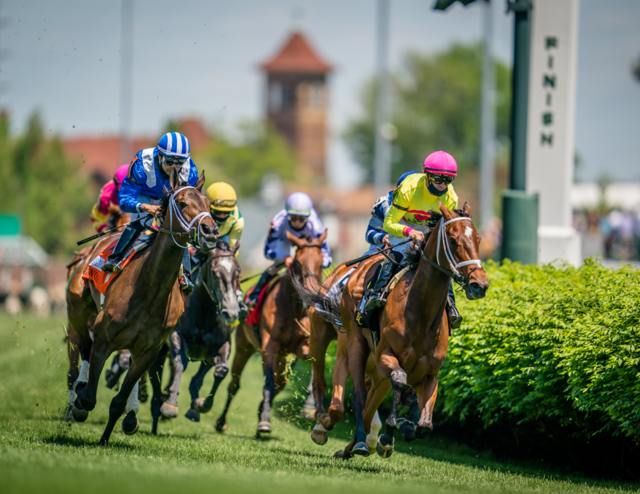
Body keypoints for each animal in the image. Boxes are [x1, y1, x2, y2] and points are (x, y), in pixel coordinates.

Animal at [66, 172, 219, 446]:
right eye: (182, 203)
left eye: (208, 204)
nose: (210, 230)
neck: (148, 290)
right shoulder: (104, 339)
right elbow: (90, 397)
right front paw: (81, 403)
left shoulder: (149, 351)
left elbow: (117, 402)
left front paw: (107, 437)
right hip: (78, 311)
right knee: (83, 346)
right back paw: (79, 391)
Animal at [215, 230, 328, 434]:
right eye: (298, 263)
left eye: (321, 263)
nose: (310, 294)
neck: (294, 309)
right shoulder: (270, 345)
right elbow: (268, 383)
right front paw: (265, 420)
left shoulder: (303, 346)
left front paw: (308, 406)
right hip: (244, 347)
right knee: (234, 384)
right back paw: (221, 422)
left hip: (284, 360)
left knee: (280, 383)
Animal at [298, 203, 488, 458]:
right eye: (453, 239)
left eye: (477, 238)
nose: (480, 285)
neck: (420, 313)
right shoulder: (385, 356)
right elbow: (397, 381)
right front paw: (387, 436)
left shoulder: (429, 373)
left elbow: (424, 426)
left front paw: (403, 428)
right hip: (342, 340)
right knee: (350, 393)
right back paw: (340, 431)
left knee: (367, 407)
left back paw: (350, 446)